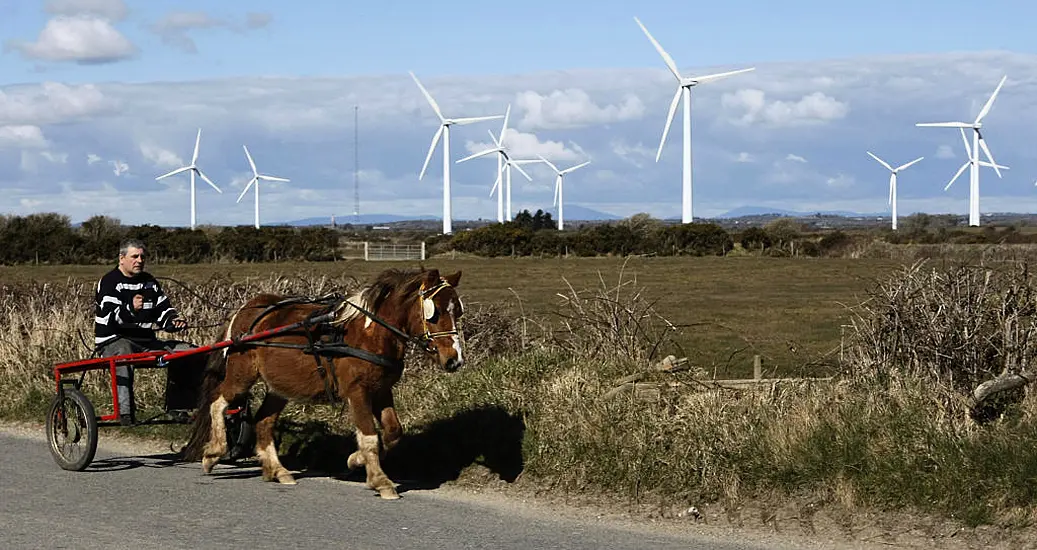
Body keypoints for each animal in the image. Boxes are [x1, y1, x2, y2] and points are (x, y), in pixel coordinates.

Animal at [182, 265, 466, 496]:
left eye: (458, 311)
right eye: (434, 313)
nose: (455, 359)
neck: (370, 333)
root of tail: (247, 309)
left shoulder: (382, 391)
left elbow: (393, 432)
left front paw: (355, 460)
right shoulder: (357, 392)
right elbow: (370, 436)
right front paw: (380, 480)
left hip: (279, 386)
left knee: (263, 421)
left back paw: (277, 470)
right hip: (242, 374)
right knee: (218, 402)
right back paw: (214, 452)